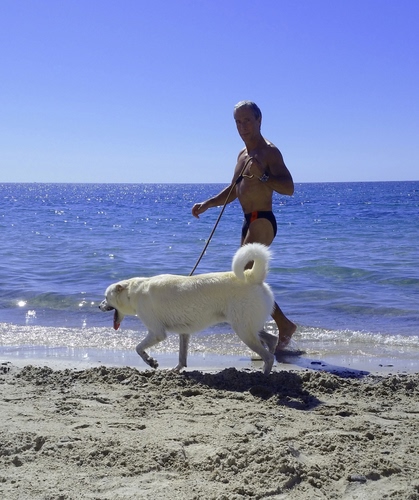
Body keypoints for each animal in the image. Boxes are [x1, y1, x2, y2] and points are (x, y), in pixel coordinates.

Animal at [99, 243, 277, 374]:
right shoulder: (184, 332)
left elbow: (138, 348)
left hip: (243, 329)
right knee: (271, 339)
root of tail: (252, 277)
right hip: (247, 325)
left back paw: (264, 375)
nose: (99, 306)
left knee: (268, 356)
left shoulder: (157, 333)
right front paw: (176, 369)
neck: (133, 291)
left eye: (106, 297)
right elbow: (182, 356)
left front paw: (151, 361)